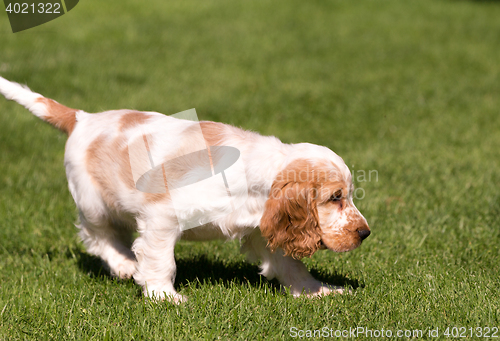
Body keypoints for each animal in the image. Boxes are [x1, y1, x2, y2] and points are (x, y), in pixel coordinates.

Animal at [0, 75, 368, 302]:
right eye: (335, 198)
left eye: (347, 195)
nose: (365, 233)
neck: (255, 177)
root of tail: (81, 118)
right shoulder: (162, 216)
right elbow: (162, 260)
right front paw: (164, 297)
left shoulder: (263, 228)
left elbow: (291, 265)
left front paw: (318, 291)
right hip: (94, 202)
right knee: (96, 236)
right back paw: (123, 265)